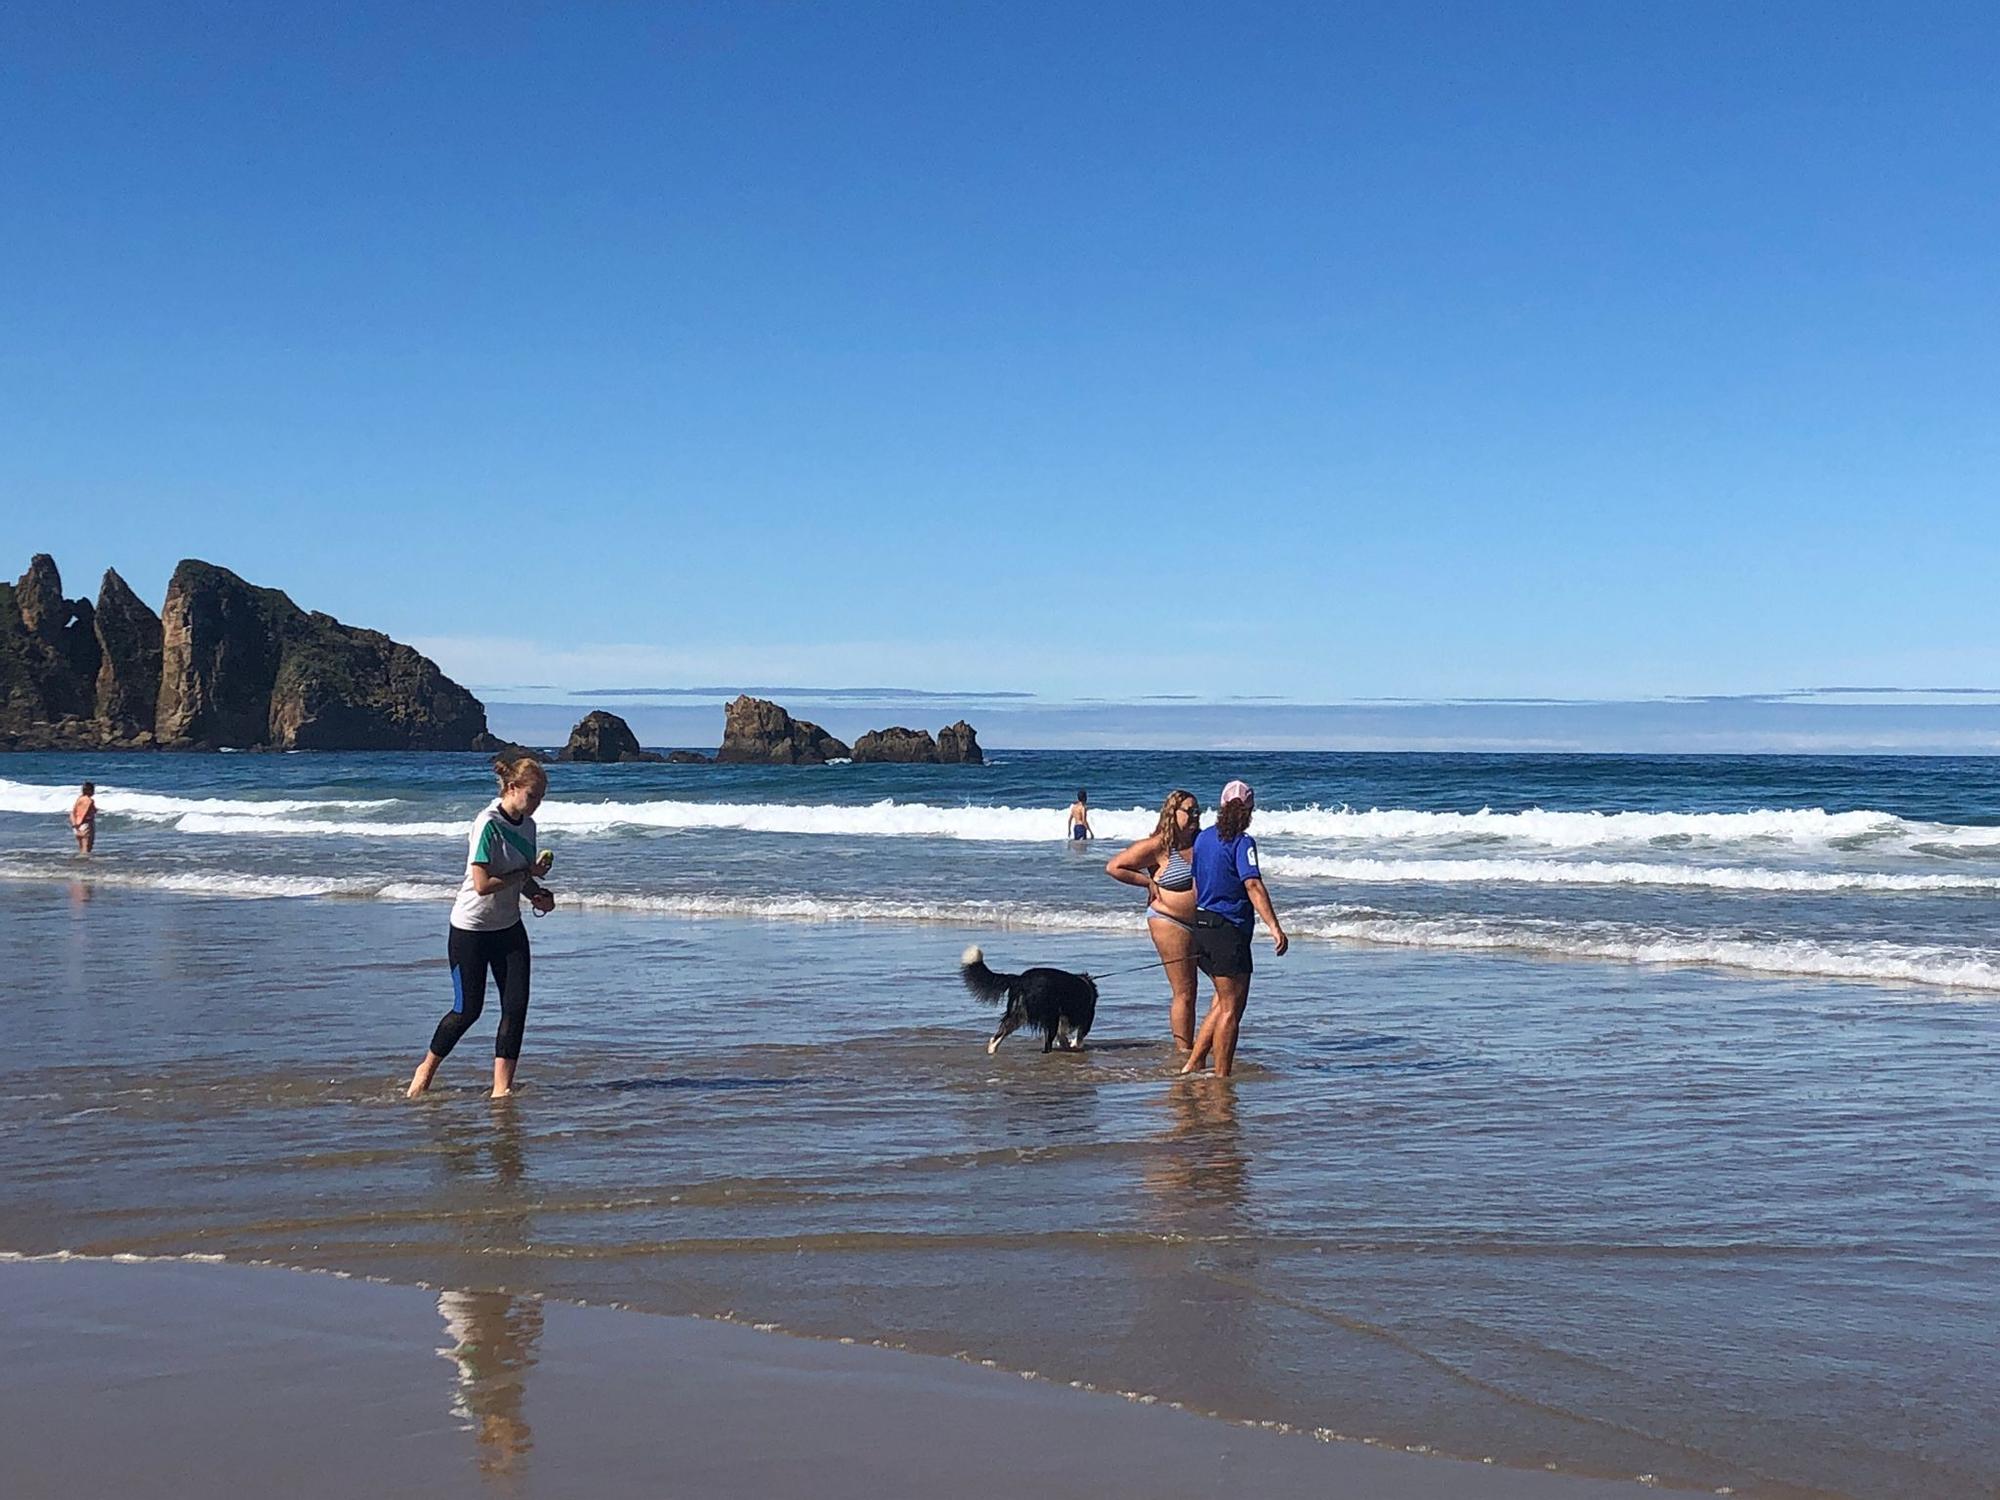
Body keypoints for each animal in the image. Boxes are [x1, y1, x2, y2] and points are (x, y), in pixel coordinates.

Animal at [960, 952, 1104, 1056]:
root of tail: (1020, 979)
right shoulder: (1086, 1018)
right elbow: (1078, 1036)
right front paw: (1074, 1045)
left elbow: (1063, 1034)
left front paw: (1067, 1044)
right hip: (1048, 1015)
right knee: (1047, 1044)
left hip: (1018, 1013)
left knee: (998, 1035)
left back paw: (992, 1051)